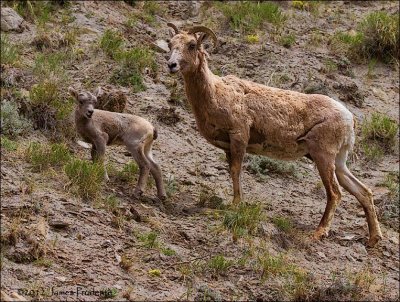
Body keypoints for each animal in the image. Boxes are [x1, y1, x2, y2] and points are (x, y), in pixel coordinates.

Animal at [165, 23, 382, 245]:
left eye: (192, 45)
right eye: (170, 44)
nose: (172, 65)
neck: (215, 93)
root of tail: (349, 118)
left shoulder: (239, 137)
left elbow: (236, 171)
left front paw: (236, 204)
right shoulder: (228, 147)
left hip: (324, 156)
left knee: (335, 193)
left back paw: (319, 232)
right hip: (338, 162)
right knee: (363, 192)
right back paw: (374, 239)